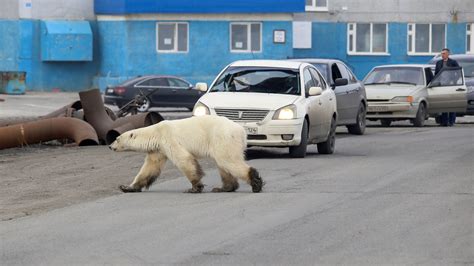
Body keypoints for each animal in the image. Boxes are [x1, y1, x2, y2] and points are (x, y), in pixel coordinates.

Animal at [110, 115, 264, 193]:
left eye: (117, 138)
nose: (110, 146)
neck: (155, 133)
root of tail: (241, 130)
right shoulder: (158, 149)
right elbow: (150, 167)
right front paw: (127, 187)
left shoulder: (169, 138)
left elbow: (184, 160)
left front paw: (195, 188)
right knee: (223, 165)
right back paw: (223, 188)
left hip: (223, 137)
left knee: (227, 160)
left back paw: (255, 183)